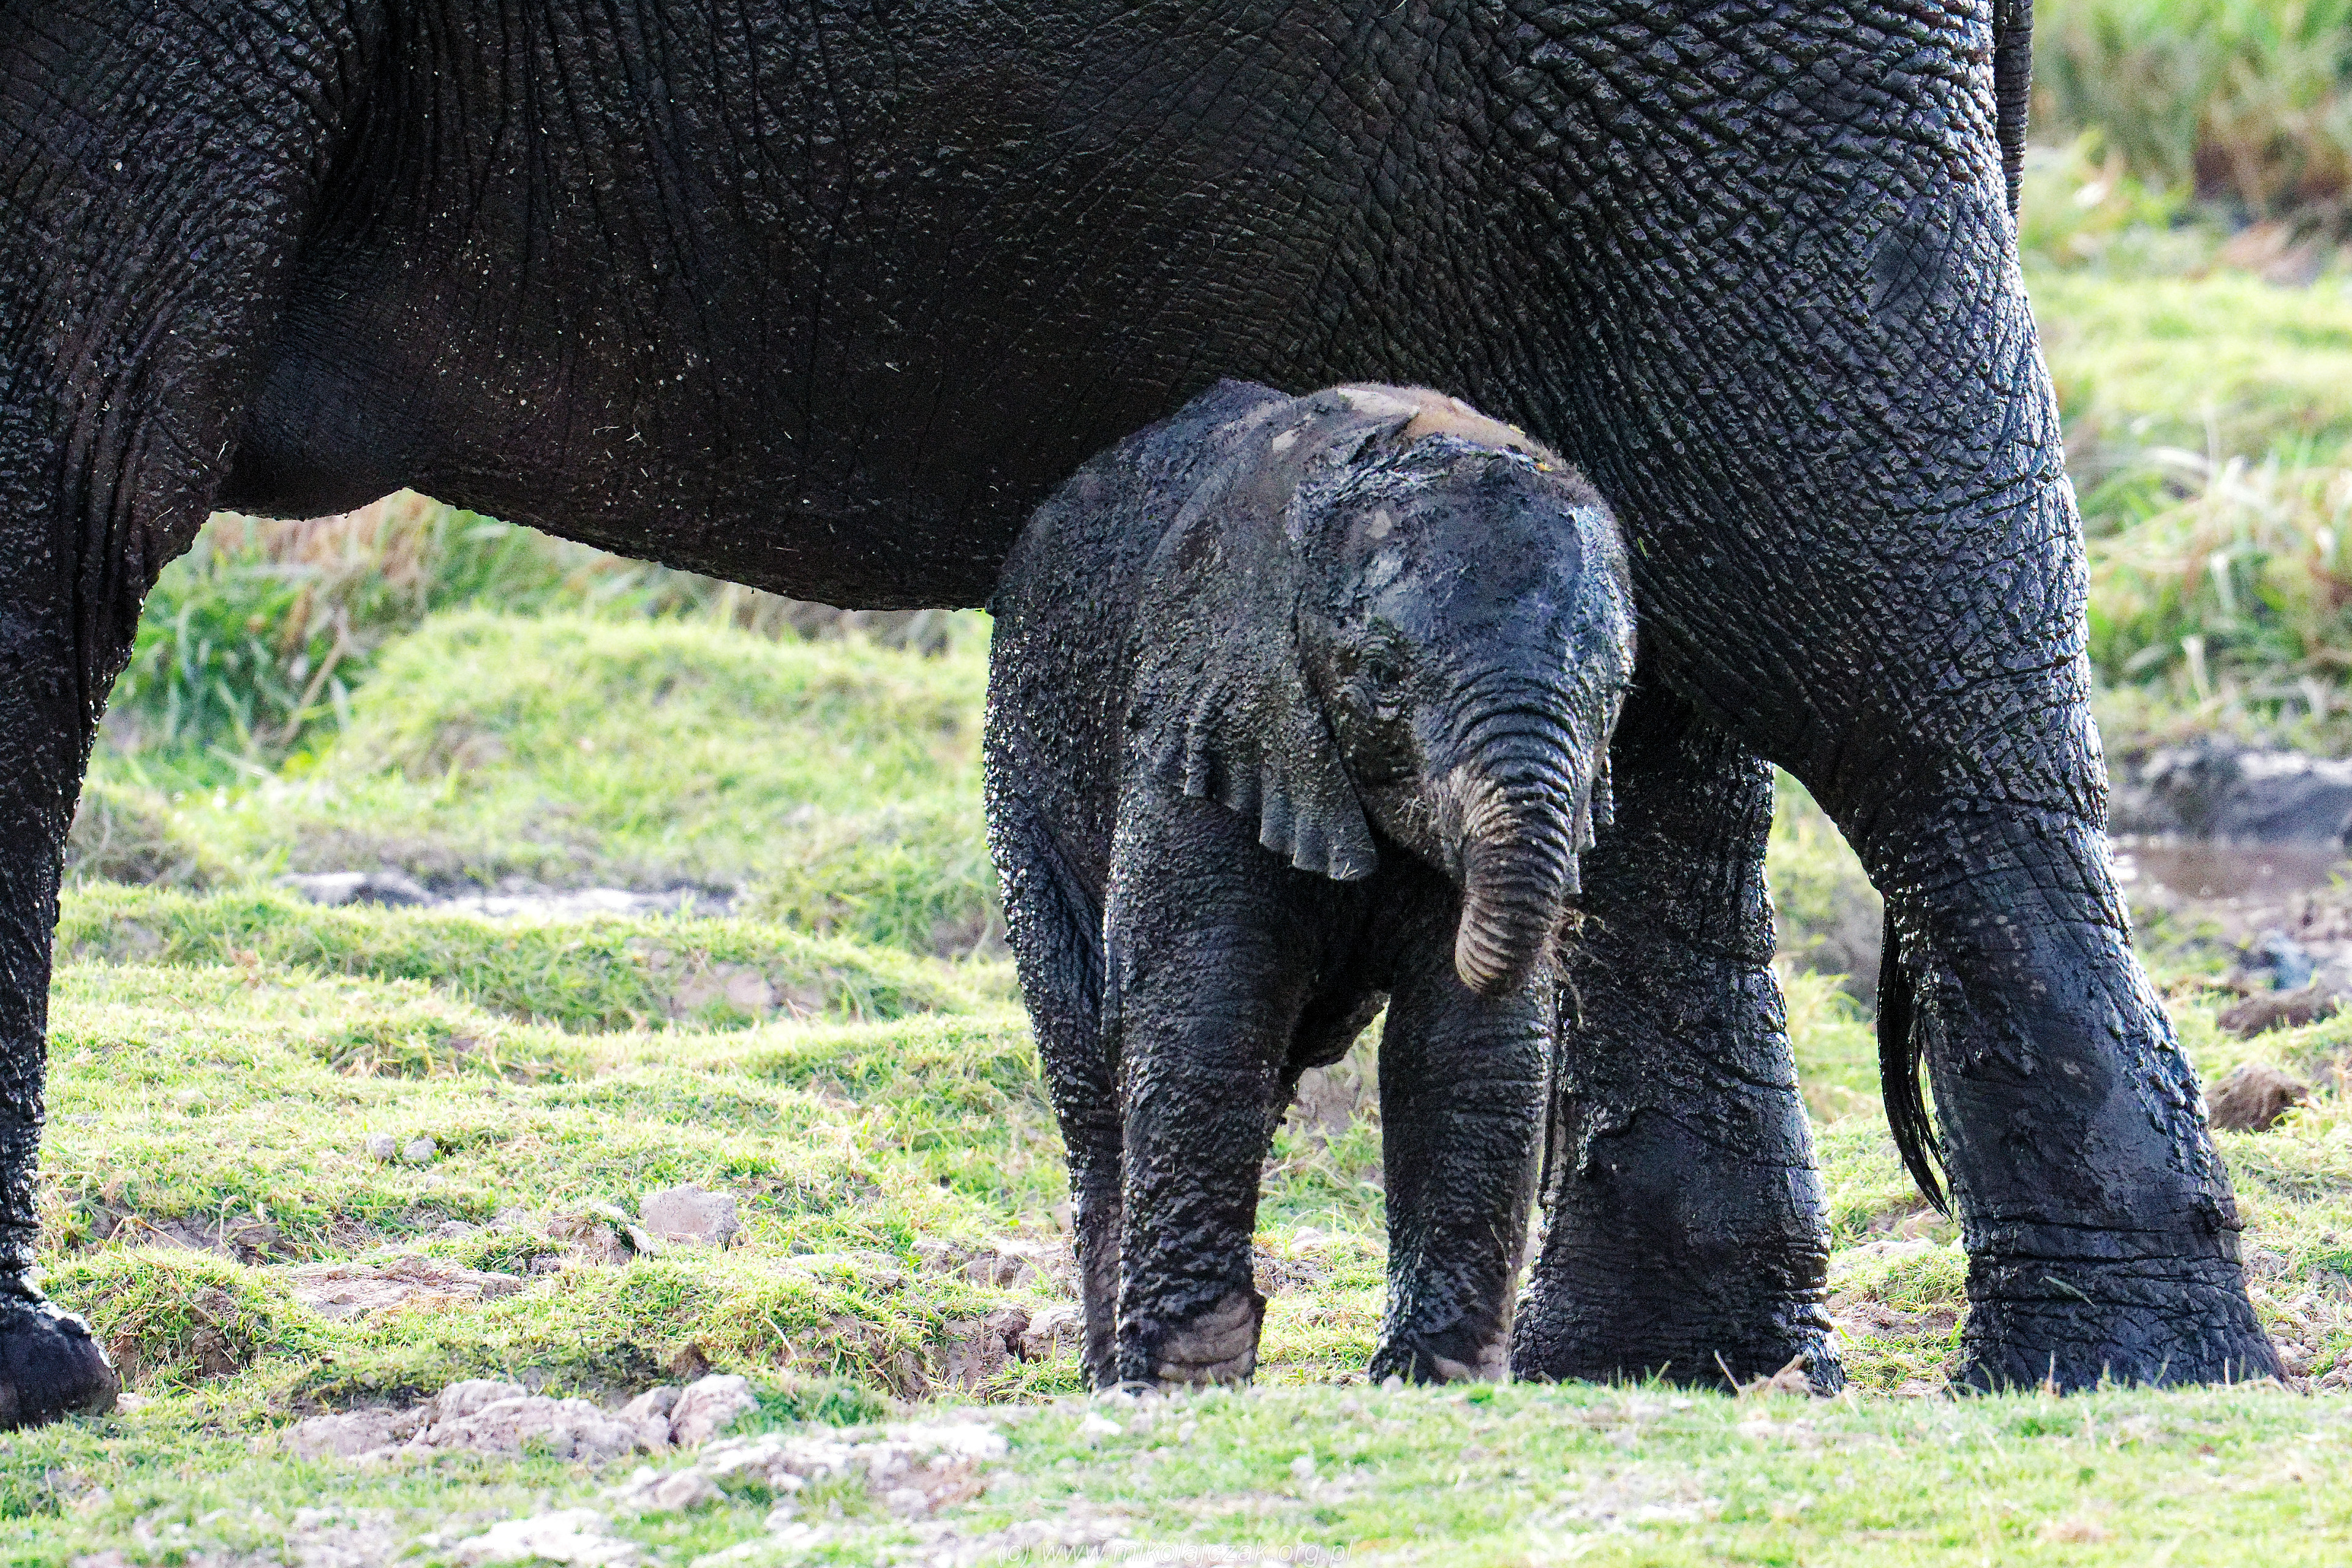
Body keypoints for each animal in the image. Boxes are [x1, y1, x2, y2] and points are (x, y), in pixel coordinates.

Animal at [984, 380, 1635, 1388]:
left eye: (1617, 694)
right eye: (1383, 676)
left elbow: (1469, 1041)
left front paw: (1435, 1380)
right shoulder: (1200, 714)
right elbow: (1203, 1000)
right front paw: (1187, 1378)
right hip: (1023, 768)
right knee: (1093, 1068)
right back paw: (1108, 1370)